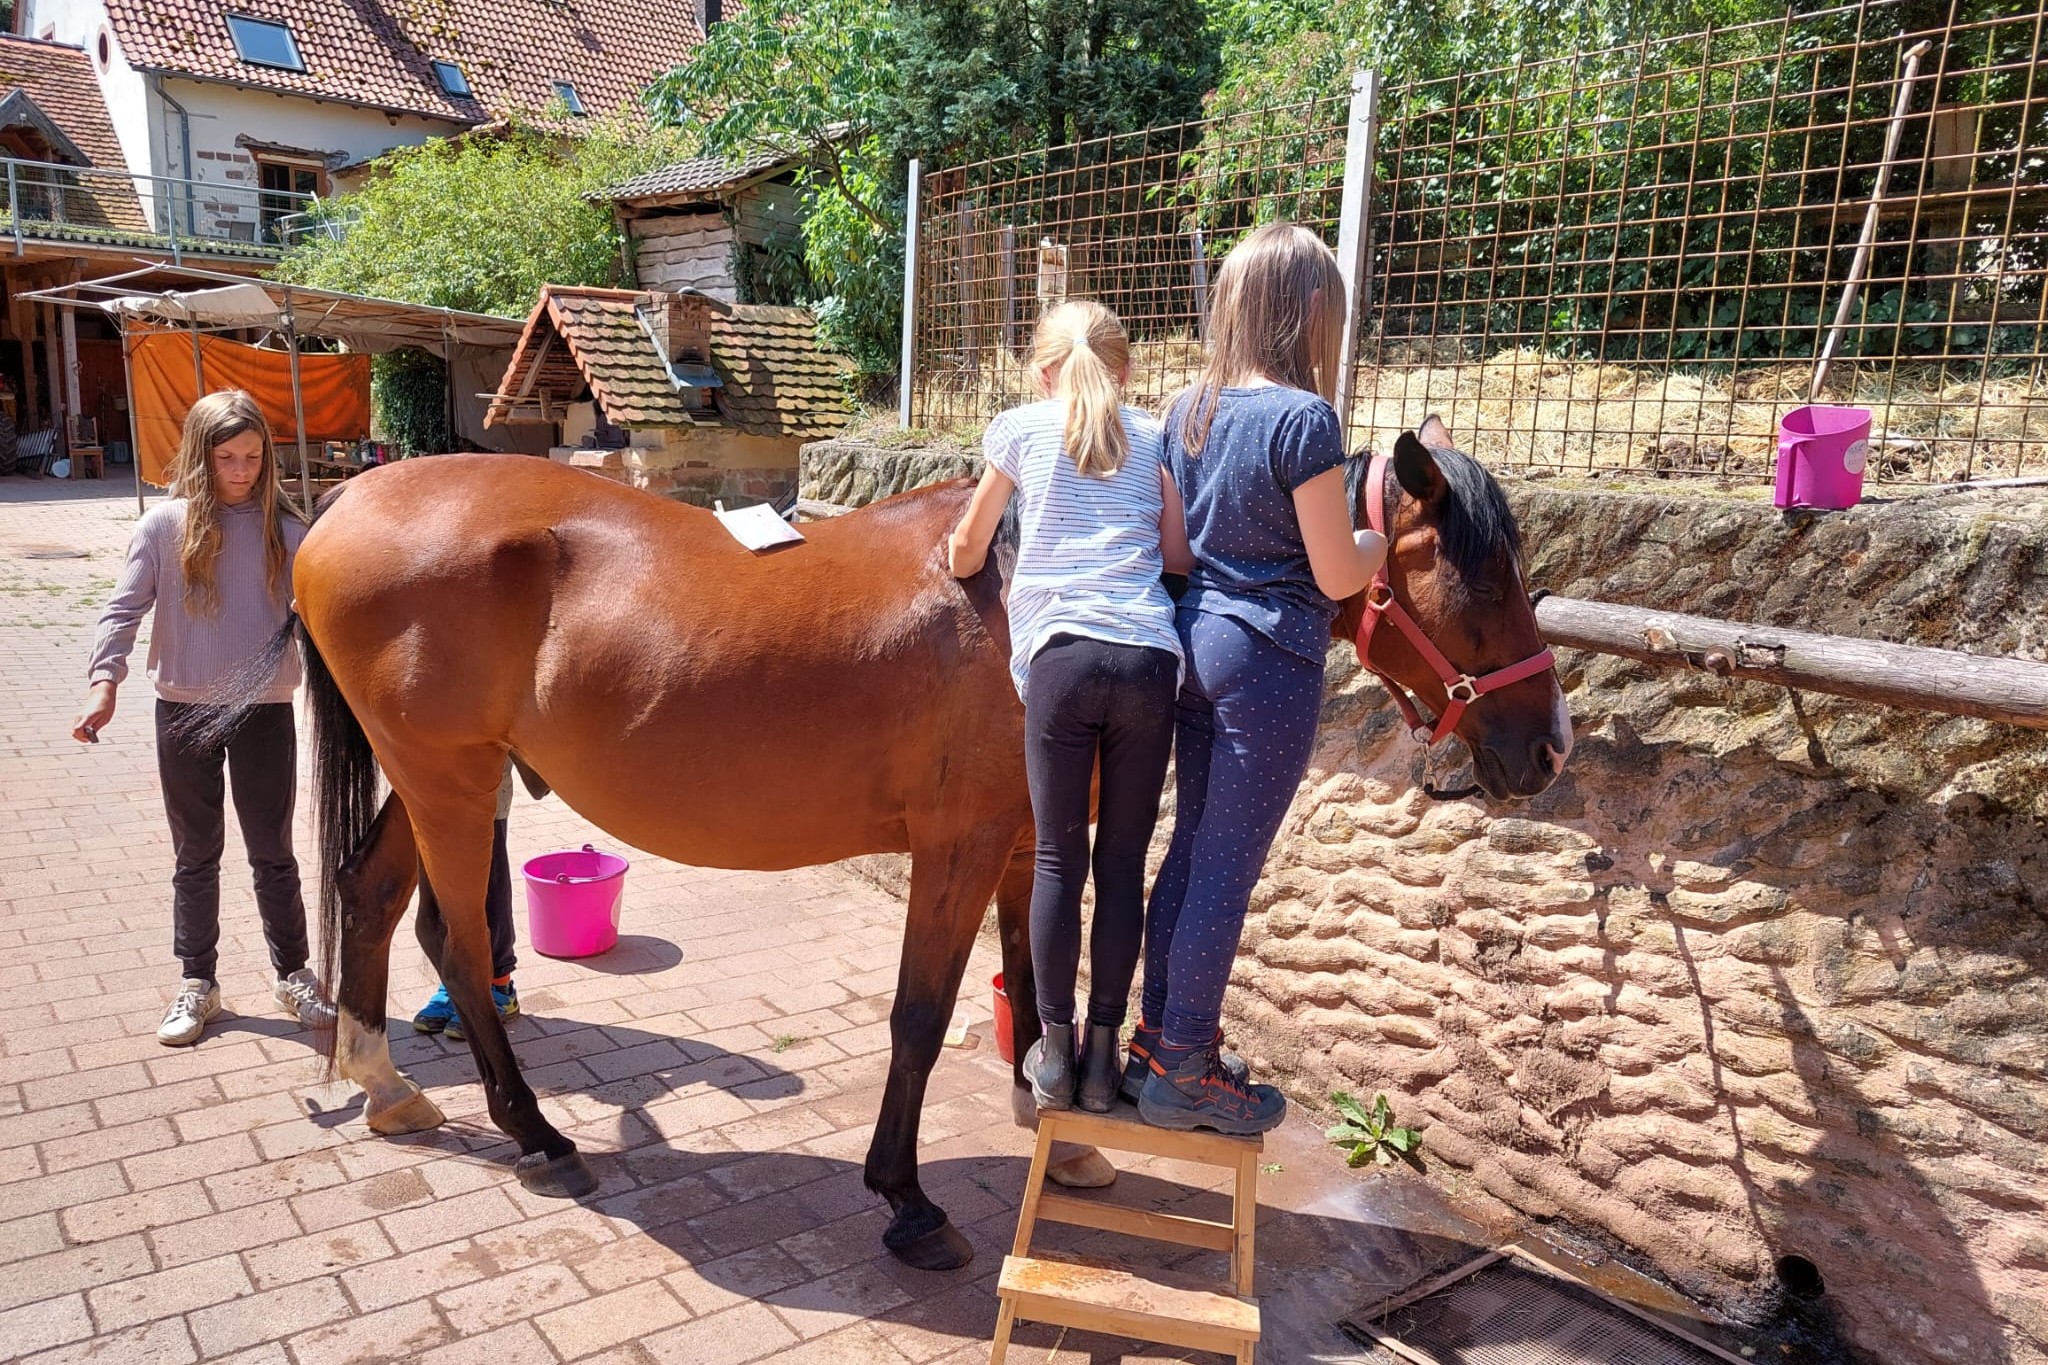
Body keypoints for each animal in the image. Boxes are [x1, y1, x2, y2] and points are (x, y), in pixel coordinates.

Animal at [225, 414, 1564, 1273]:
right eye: (1483, 581)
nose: (1544, 748)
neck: (1048, 594)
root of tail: (348, 499)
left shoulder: (1025, 841)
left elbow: (1033, 983)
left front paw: (1061, 1139)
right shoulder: (958, 849)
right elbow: (921, 1020)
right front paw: (906, 1200)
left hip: (436, 782)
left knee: (369, 895)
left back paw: (387, 1084)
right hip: (453, 785)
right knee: (457, 940)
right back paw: (537, 1132)